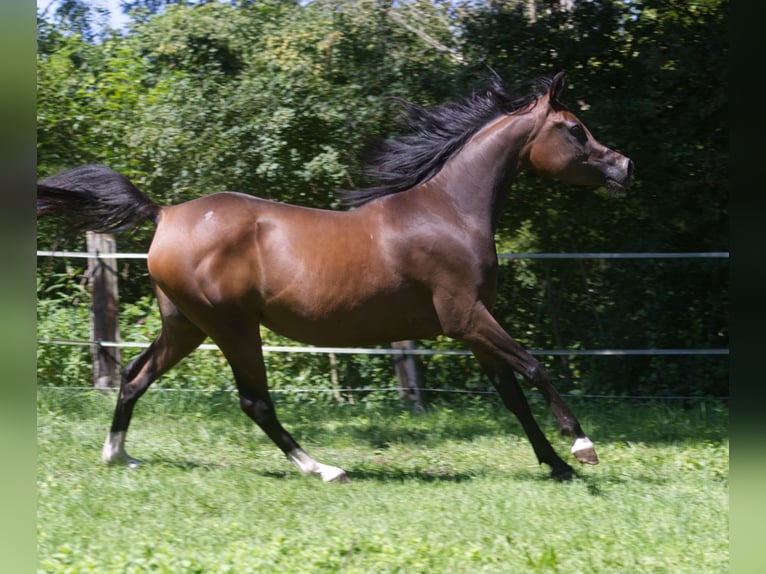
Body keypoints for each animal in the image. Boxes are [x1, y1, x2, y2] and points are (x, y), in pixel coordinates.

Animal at [38, 71, 633, 482]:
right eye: (574, 130)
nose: (625, 167)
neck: (449, 211)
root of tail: (165, 214)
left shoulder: (471, 327)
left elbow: (511, 394)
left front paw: (556, 465)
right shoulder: (466, 317)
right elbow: (535, 368)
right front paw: (581, 448)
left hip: (187, 325)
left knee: (135, 376)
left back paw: (118, 456)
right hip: (231, 327)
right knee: (254, 401)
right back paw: (324, 469)